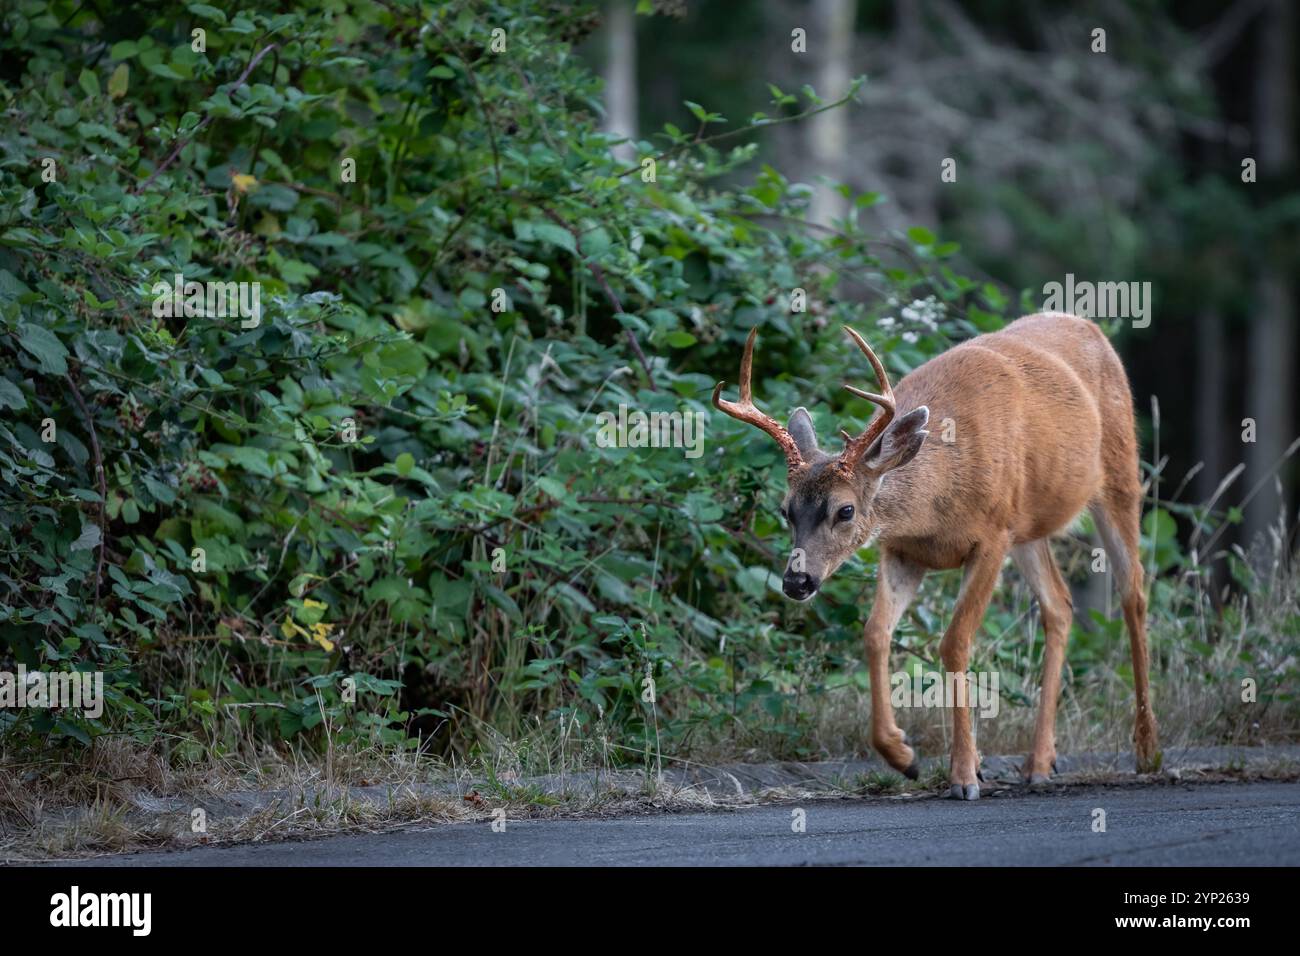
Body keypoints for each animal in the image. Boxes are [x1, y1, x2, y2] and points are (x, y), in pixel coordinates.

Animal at [717, 314, 1164, 801]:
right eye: (786, 510)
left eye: (845, 510)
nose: (797, 581)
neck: (936, 502)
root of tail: (1089, 326)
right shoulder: (902, 551)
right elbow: (875, 633)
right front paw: (903, 756)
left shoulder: (992, 537)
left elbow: (954, 642)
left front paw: (965, 775)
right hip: (1028, 527)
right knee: (1059, 605)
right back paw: (1039, 762)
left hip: (1119, 475)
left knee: (1134, 593)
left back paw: (1148, 751)